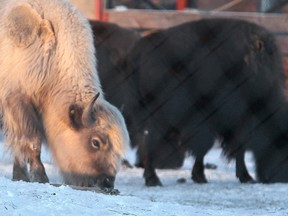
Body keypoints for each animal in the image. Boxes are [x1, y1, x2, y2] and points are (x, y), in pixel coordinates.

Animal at [0, 0, 129, 191]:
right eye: (96, 142)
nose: (107, 183)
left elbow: (19, 142)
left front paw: (20, 176)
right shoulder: (17, 100)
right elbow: (31, 141)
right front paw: (40, 177)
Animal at [122, 18, 286, 186]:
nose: (282, 179)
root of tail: (138, 52)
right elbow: (209, 147)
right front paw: (202, 176)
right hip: (156, 117)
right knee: (149, 143)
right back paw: (153, 179)